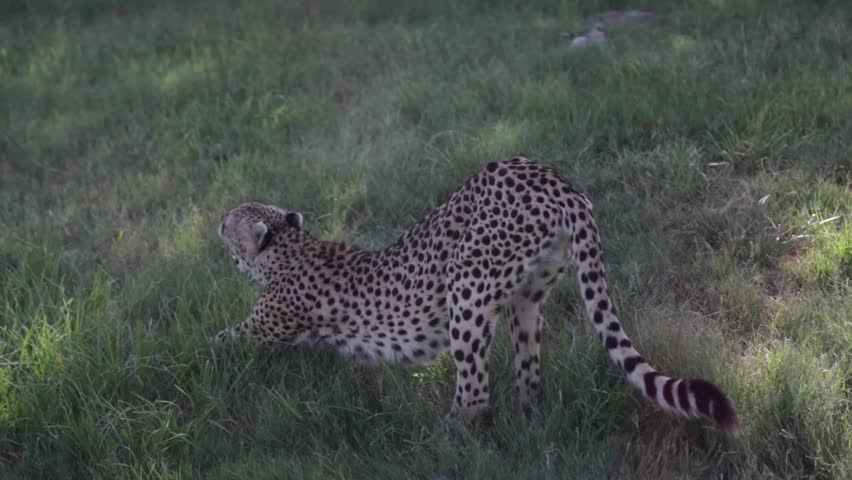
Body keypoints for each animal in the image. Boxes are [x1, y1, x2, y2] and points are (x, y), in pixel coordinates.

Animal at [213, 155, 739, 433]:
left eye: (229, 222)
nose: (215, 225)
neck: (292, 249)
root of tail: (550, 177)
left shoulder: (265, 326)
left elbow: (218, 343)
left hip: (466, 287)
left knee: (475, 392)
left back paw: (441, 433)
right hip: (527, 298)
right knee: (528, 373)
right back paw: (528, 418)